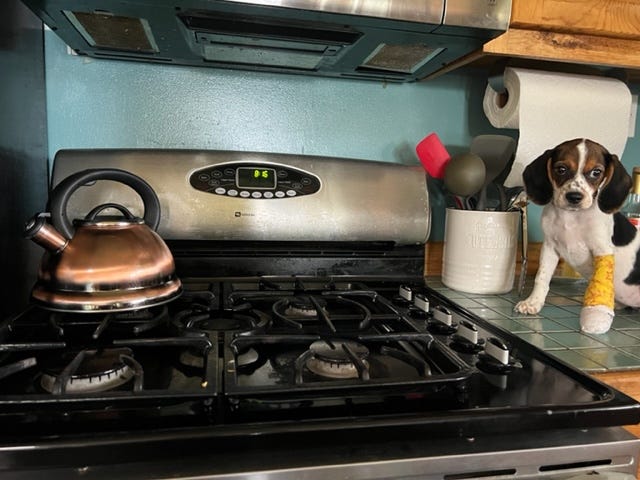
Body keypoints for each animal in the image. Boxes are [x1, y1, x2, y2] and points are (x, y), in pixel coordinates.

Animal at [516, 139, 636, 334]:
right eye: (561, 169)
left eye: (596, 172)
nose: (574, 196)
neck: (571, 217)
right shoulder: (550, 248)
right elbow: (541, 277)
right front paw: (533, 302)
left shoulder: (602, 250)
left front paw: (595, 315)